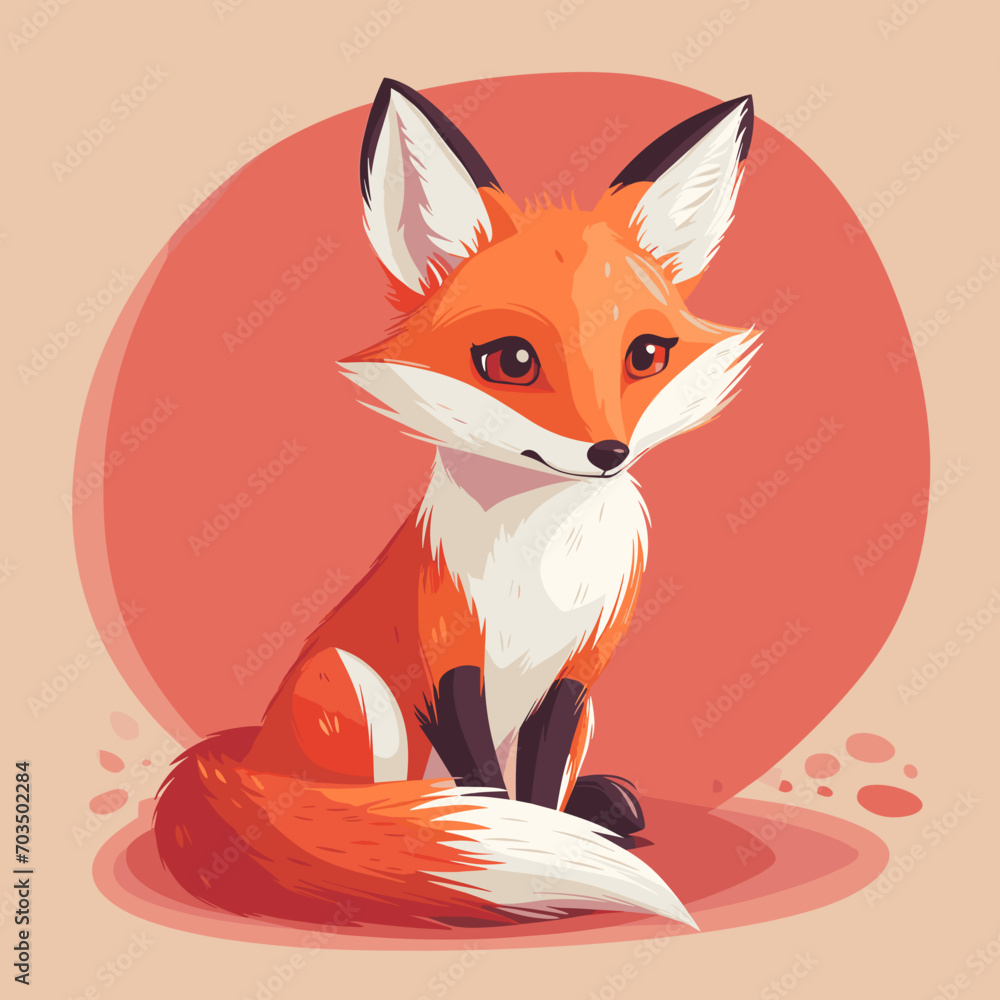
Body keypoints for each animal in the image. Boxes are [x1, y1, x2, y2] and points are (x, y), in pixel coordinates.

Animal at [154, 79, 761, 930]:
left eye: (646, 355)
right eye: (511, 361)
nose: (608, 454)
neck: (544, 566)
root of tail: (247, 752)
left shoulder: (577, 674)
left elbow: (538, 783)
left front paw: (552, 845)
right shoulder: (446, 659)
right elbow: (489, 792)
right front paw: (514, 853)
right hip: (358, 693)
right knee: (379, 802)